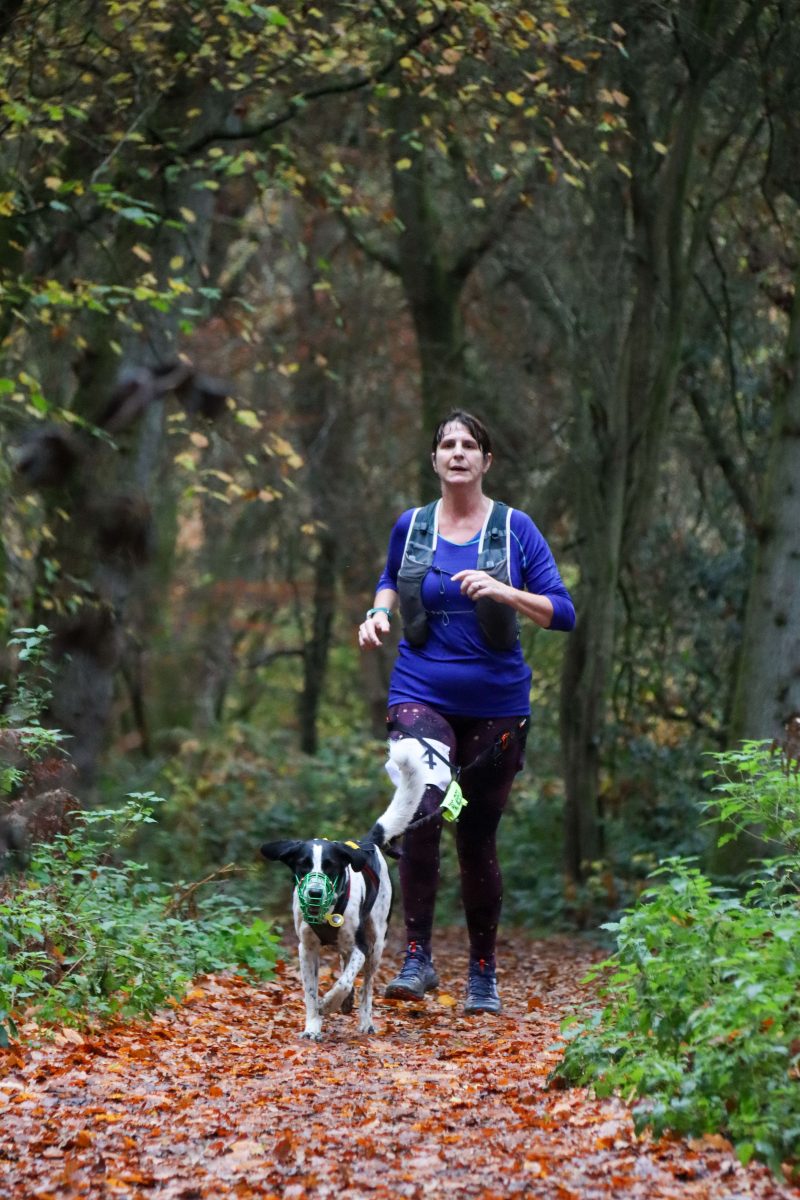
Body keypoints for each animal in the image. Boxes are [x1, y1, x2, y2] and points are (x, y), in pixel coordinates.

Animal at [260, 735, 444, 1040]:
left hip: (376, 940)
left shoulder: (361, 945)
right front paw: (312, 1025)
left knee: (366, 986)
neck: (326, 912)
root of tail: (366, 842)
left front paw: (330, 1003)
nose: (314, 893)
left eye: (331, 866)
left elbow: (345, 982)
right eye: (303, 865)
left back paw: (365, 1020)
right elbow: (311, 992)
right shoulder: (306, 948)